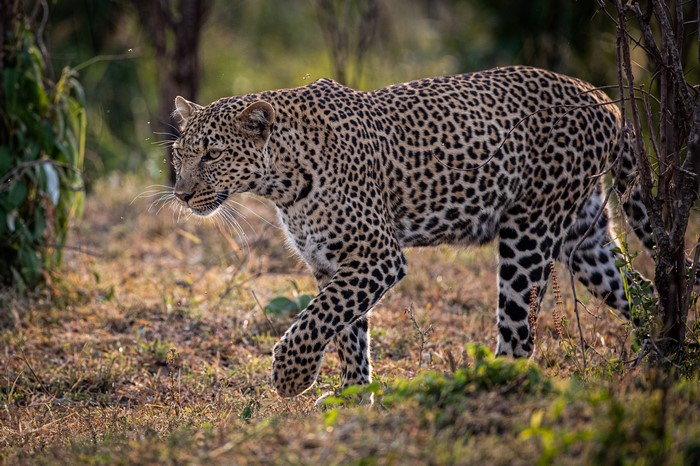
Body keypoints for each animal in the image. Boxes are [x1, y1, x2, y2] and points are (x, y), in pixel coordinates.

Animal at [170, 66, 658, 398]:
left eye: (213, 154)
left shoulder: (377, 255)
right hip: (584, 236)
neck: (281, 180)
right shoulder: (331, 263)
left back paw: (482, 387)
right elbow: (347, 332)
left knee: (519, 333)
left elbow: (317, 318)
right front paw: (354, 401)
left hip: (529, 231)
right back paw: (658, 359)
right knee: (641, 289)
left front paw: (292, 376)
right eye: (179, 153)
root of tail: (605, 100)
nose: (180, 193)